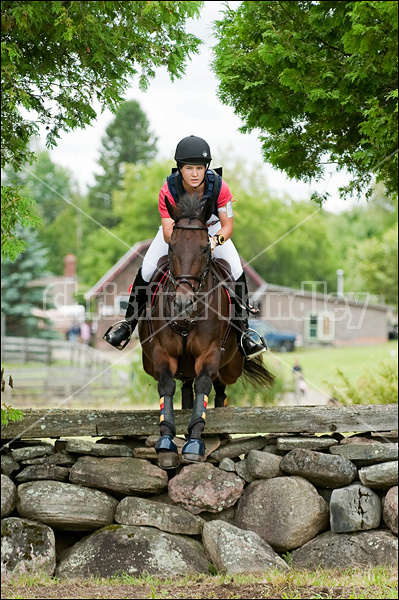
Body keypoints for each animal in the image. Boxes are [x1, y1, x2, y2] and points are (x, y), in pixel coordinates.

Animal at [138, 192, 276, 468]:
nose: (182, 303)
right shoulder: (162, 354)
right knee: (186, 390)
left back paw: (222, 435)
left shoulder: (209, 354)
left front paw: (195, 442)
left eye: (204, 248)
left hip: (230, 367)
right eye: (171, 247)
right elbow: (166, 387)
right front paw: (167, 442)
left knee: (220, 392)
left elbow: (204, 385)